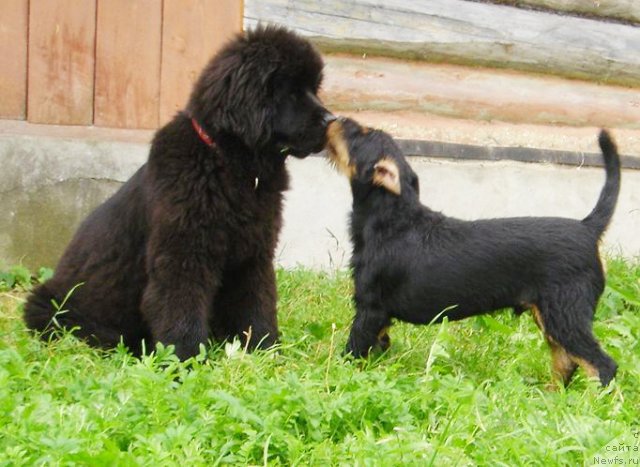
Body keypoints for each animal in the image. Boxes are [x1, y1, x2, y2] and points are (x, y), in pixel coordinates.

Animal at [23, 25, 336, 360]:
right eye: (290, 92)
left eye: (314, 89)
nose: (332, 121)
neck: (231, 166)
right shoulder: (183, 254)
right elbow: (181, 306)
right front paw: (185, 359)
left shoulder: (252, 255)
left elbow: (256, 303)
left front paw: (263, 349)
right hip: (51, 305)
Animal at [324, 118, 620, 388]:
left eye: (359, 134)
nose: (333, 119)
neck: (394, 217)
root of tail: (587, 228)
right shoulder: (380, 317)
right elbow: (378, 347)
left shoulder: (370, 309)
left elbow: (354, 348)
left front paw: (339, 375)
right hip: (550, 315)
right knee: (566, 360)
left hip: (566, 312)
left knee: (601, 364)